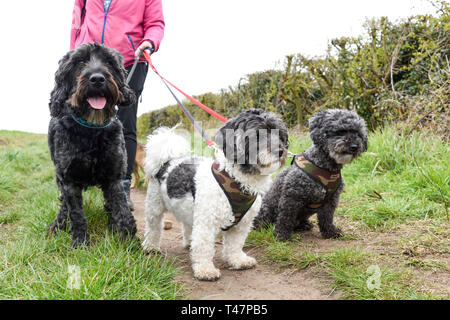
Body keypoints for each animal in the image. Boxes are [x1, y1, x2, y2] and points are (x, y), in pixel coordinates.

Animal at [47, 43, 137, 248]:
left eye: (109, 62)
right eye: (80, 62)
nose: (97, 79)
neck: (91, 130)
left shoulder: (114, 176)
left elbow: (121, 209)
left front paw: (128, 243)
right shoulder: (69, 180)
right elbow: (76, 213)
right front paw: (80, 243)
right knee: (64, 204)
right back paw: (58, 224)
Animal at [142, 109, 286, 280]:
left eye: (280, 134)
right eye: (257, 135)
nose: (280, 151)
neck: (237, 179)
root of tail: (168, 160)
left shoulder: (241, 225)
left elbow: (235, 244)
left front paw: (238, 260)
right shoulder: (207, 222)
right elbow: (204, 246)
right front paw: (205, 270)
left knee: (187, 225)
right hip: (154, 206)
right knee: (153, 227)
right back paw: (150, 246)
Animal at [255, 109, 368, 241]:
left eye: (358, 134)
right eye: (340, 131)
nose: (354, 146)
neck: (326, 168)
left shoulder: (331, 201)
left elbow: (327, 218)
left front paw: (330, 232)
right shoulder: (291, 197)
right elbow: (285, 218)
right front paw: (282, 235)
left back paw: (304, 225)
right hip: (266, 209)